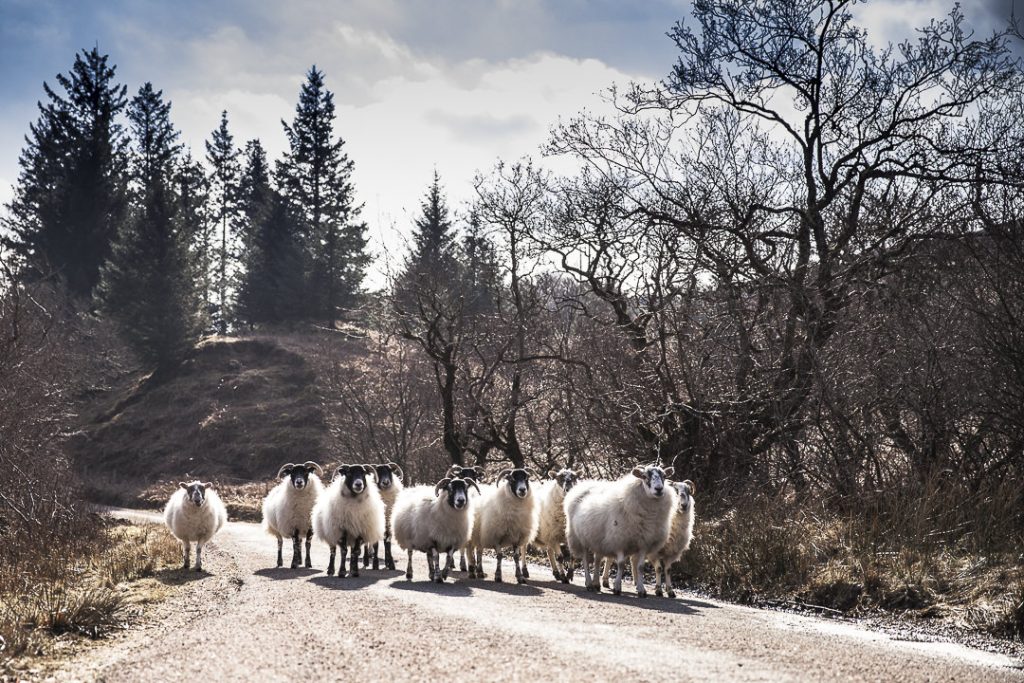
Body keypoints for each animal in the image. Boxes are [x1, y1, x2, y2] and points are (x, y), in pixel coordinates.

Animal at [564, 464, 676, 596]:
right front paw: (617, 587)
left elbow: (640, 567)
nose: (659, 489)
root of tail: (584, 485)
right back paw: (589, 583)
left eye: (664, 476)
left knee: (597, 560)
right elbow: (621, 565)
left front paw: (641, 589)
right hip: (580, 539)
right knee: (586, 561)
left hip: (598, 540)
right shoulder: (619, 540)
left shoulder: (644, 543)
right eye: (644, 476)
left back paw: (596, 584)